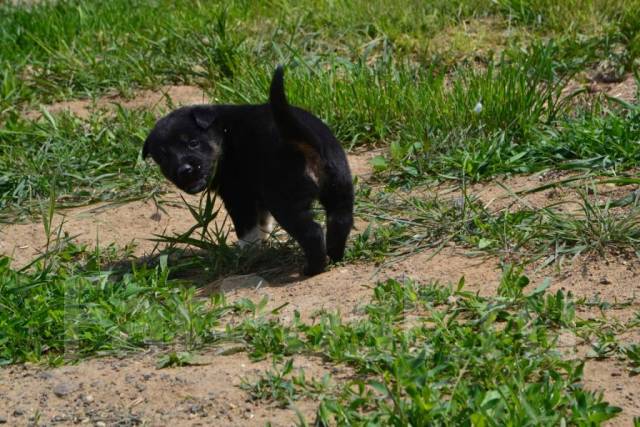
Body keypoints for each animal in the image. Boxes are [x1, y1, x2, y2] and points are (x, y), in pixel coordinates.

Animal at [143, 65, 356, 276]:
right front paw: (262, 242)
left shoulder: (238, 195)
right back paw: (335, 256)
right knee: (340, 220)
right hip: (339, 184)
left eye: (193, 143)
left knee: (312, 232)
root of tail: (301, 137)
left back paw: (312, 269)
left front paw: (245, 251)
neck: (223, 135)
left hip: (285, 200)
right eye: (163, 157)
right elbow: (262, 220)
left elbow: (247, 227)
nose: (184, 170)